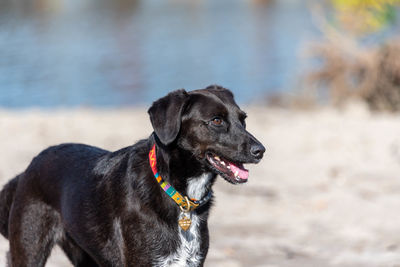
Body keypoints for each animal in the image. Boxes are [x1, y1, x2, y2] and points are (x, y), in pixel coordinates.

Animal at [0, 86, 266, 267]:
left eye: (243, 120)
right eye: (216, 121)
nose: (261, 150)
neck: (178, 195)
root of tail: (29, 168)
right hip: (29, 250)